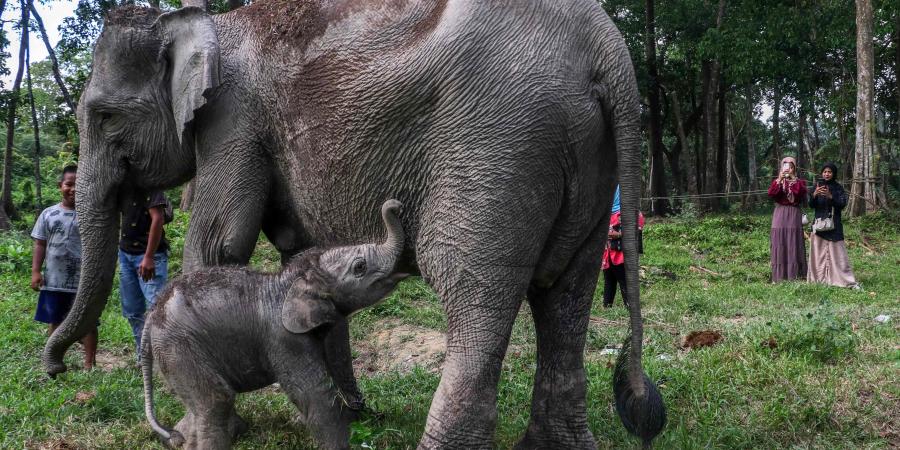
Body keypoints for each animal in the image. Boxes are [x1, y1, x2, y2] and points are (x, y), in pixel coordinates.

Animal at [143, 200, 408, 450]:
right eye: (360, 267)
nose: (396, 205)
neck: (291, 279)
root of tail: (151, 315)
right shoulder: (284, 339)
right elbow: (316, 394)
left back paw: (181, 440)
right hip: (180, 348)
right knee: (216, 401)